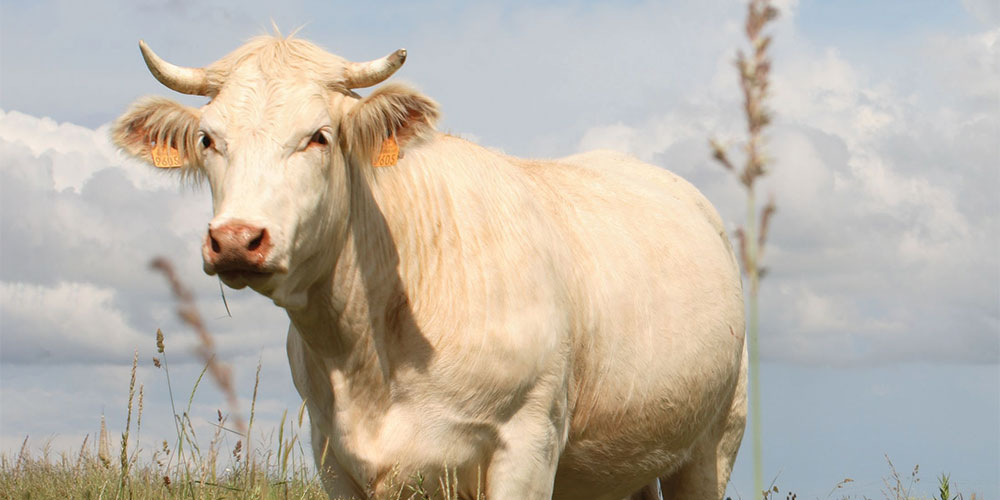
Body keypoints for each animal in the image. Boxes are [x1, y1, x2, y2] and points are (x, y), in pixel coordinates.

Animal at [113, 36, 748, 500]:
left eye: (319, 136)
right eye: (207, 138)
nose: (236, 239)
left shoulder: (529, 441)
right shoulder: (334, 456)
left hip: (714, 441)